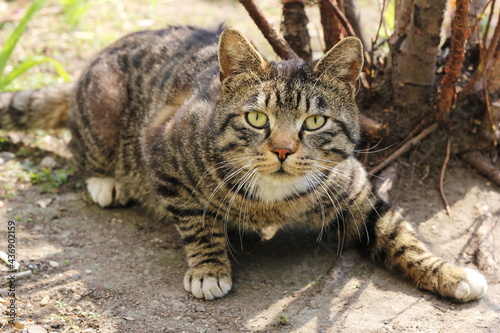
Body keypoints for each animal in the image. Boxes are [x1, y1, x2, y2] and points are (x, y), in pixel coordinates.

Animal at [0, 25, 486, 300]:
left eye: (314, 121)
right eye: (257, 118)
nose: (283, 150)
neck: (274, 201)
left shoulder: (356, 195)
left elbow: (402, 237)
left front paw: (449, 273)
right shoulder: (165, 154)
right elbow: (198, 222)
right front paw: (209, 269)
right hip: (104, 109)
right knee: (80, 147)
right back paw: (107, 182)